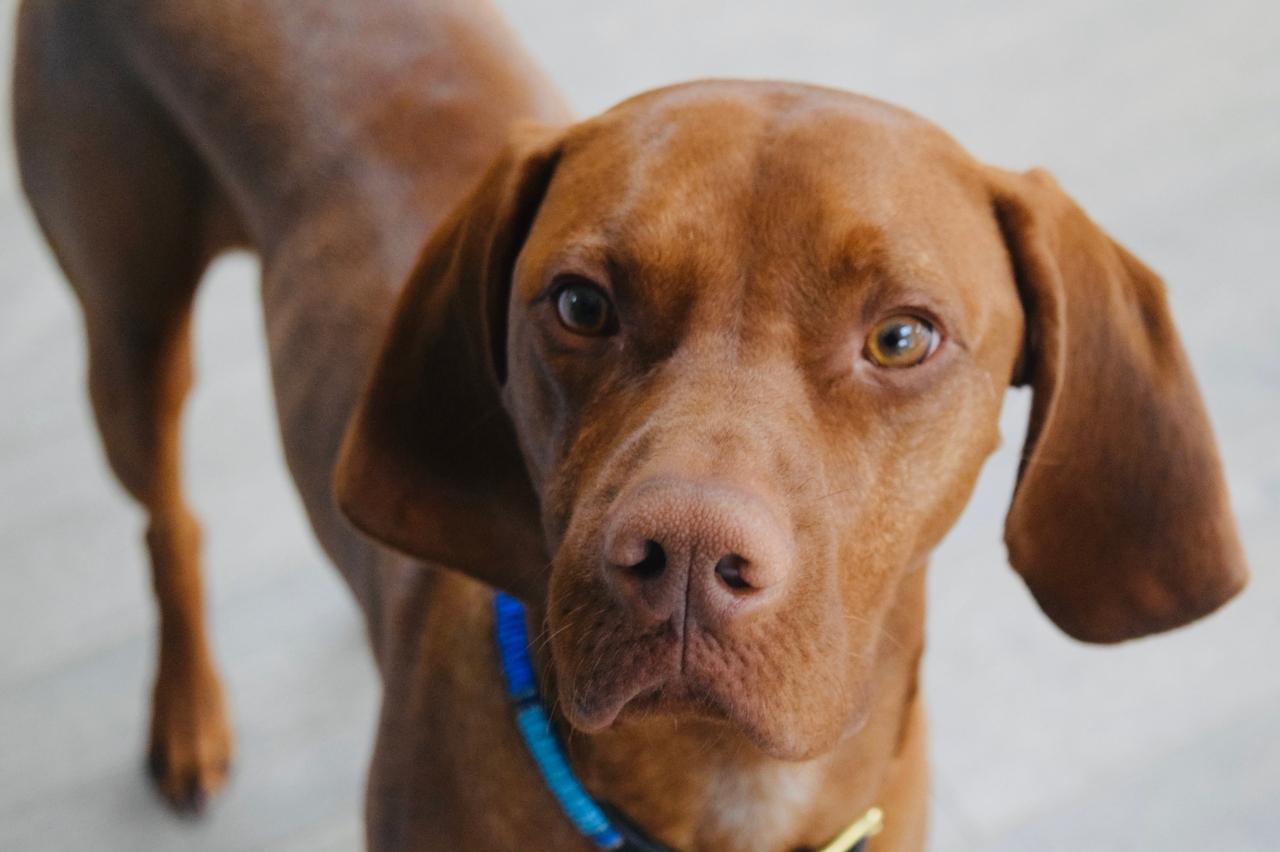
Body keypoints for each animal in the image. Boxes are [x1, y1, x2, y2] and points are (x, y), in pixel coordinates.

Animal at [12, 1, 1249, 849]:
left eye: (900, 337)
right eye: (579, 305)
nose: (687, 557)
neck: (720, 793)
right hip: (126, 331)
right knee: (169, 518)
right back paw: (185, 715)